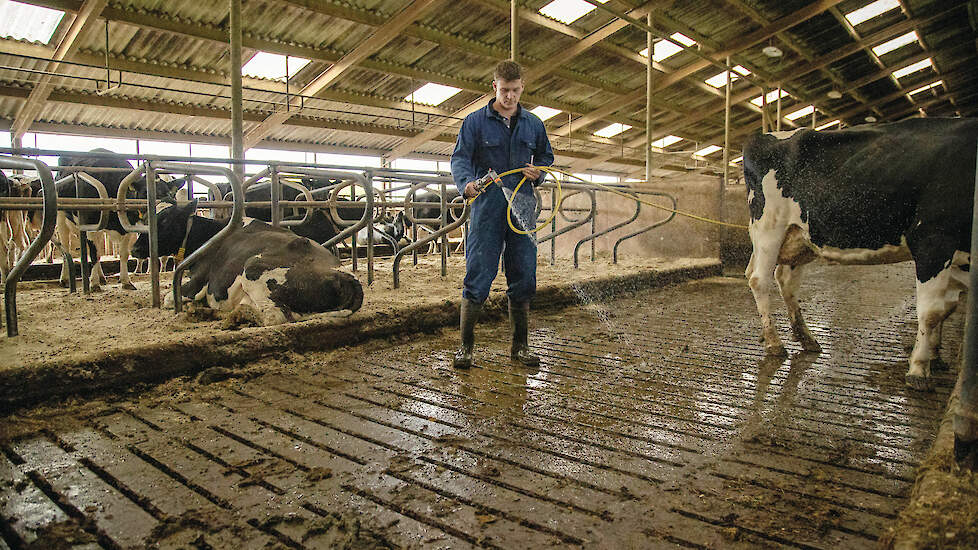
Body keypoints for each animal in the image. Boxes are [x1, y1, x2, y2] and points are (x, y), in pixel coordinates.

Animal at [132, 201, 364, 326]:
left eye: (165, 220)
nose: (135, 249)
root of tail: (346, 276)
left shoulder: (197, 283)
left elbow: (169, 298)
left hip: (254, 268)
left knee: (274, 315)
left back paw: (233, 316)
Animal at [744, 118, 972, 390]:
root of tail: (762, 136)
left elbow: (948, 307)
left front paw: (935, 357)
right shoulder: (933, 239)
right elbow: (932, 311)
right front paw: (918, 370)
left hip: (799, 237)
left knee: (785, 281)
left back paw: (807, 338)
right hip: (769, 227)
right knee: (759, 279)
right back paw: (774, 342)